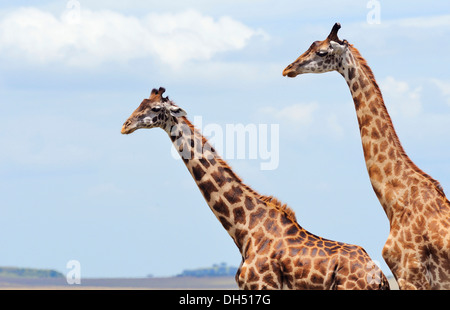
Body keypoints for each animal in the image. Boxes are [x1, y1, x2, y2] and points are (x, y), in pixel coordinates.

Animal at [120, 86, 390, 290]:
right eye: (140, 103)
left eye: (155, 109)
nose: (125, 125)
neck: (244, 228)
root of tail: (379, 277)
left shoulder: (262, 285)